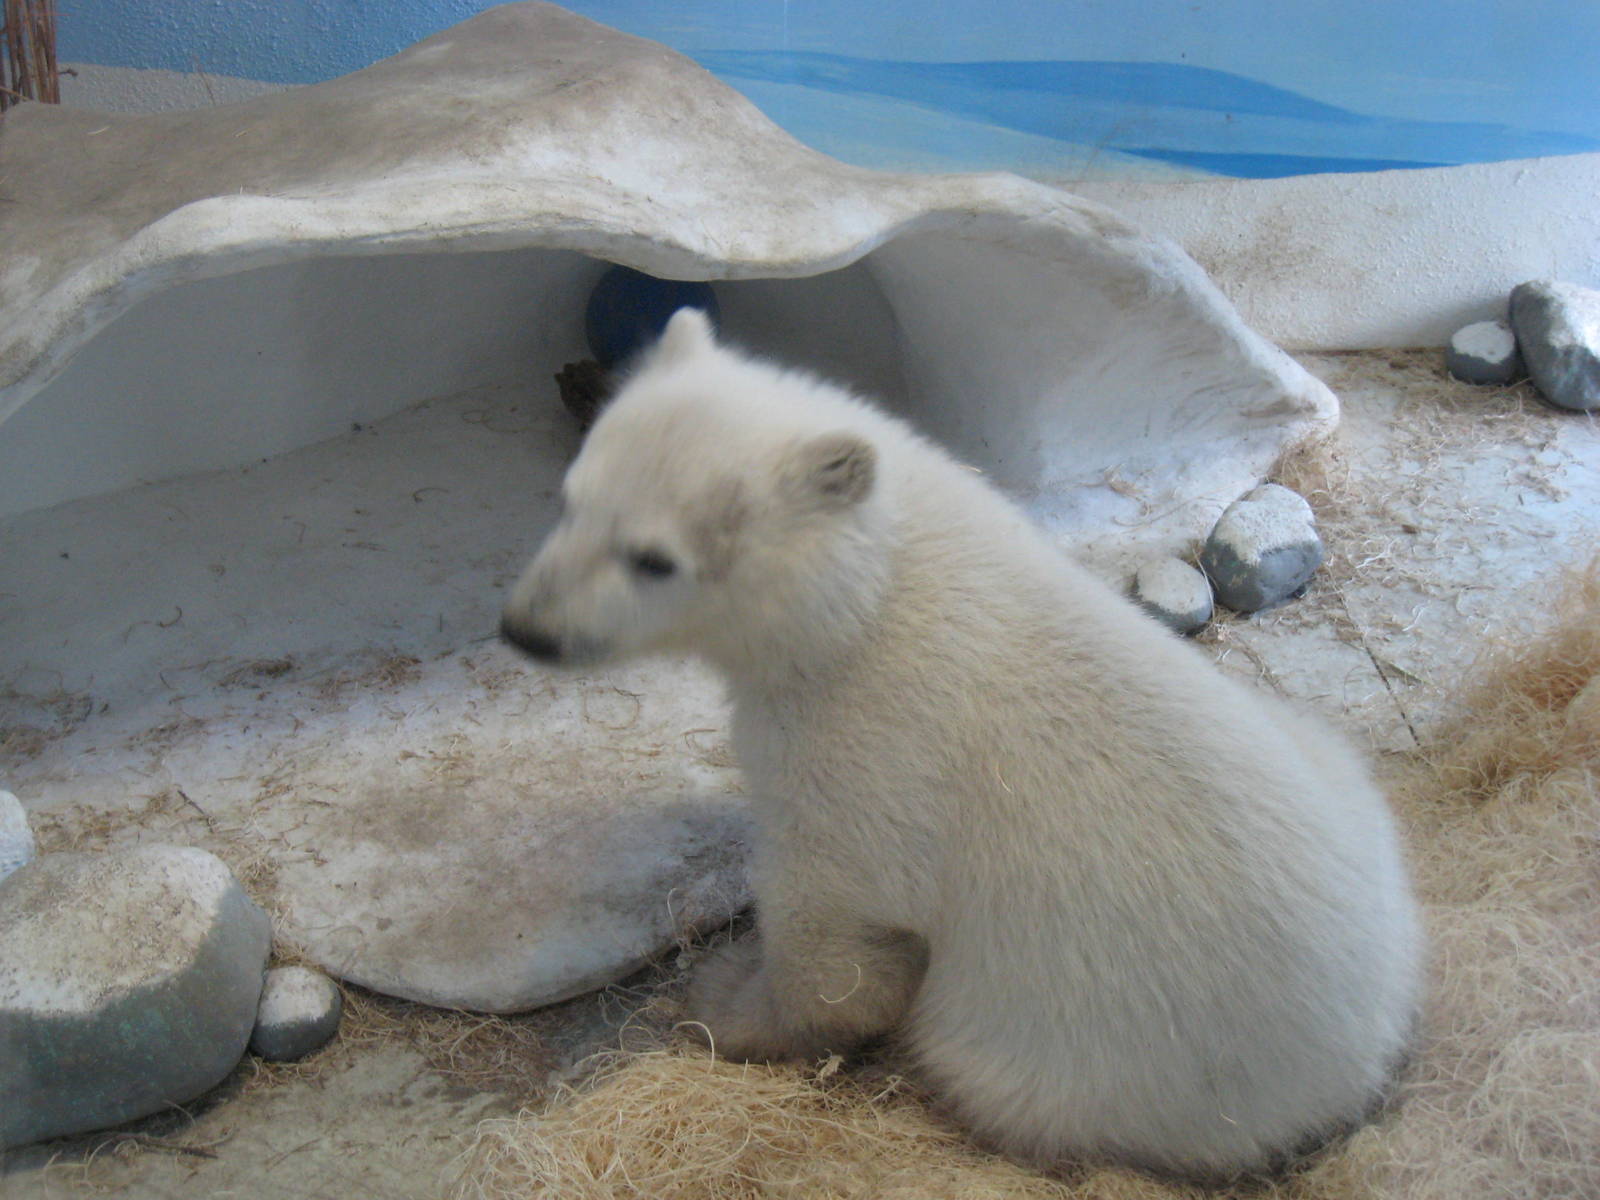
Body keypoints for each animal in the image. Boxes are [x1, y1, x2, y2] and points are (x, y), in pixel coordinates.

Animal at [500, 309, 1422, 1179]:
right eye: (570, 499)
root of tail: (1362, 1062)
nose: (527, 629)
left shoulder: (872, 748)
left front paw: (722, 1000)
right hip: (1326, 761)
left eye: (653, 558)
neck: (876, 590)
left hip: (1098, 1062)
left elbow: (835, 928)